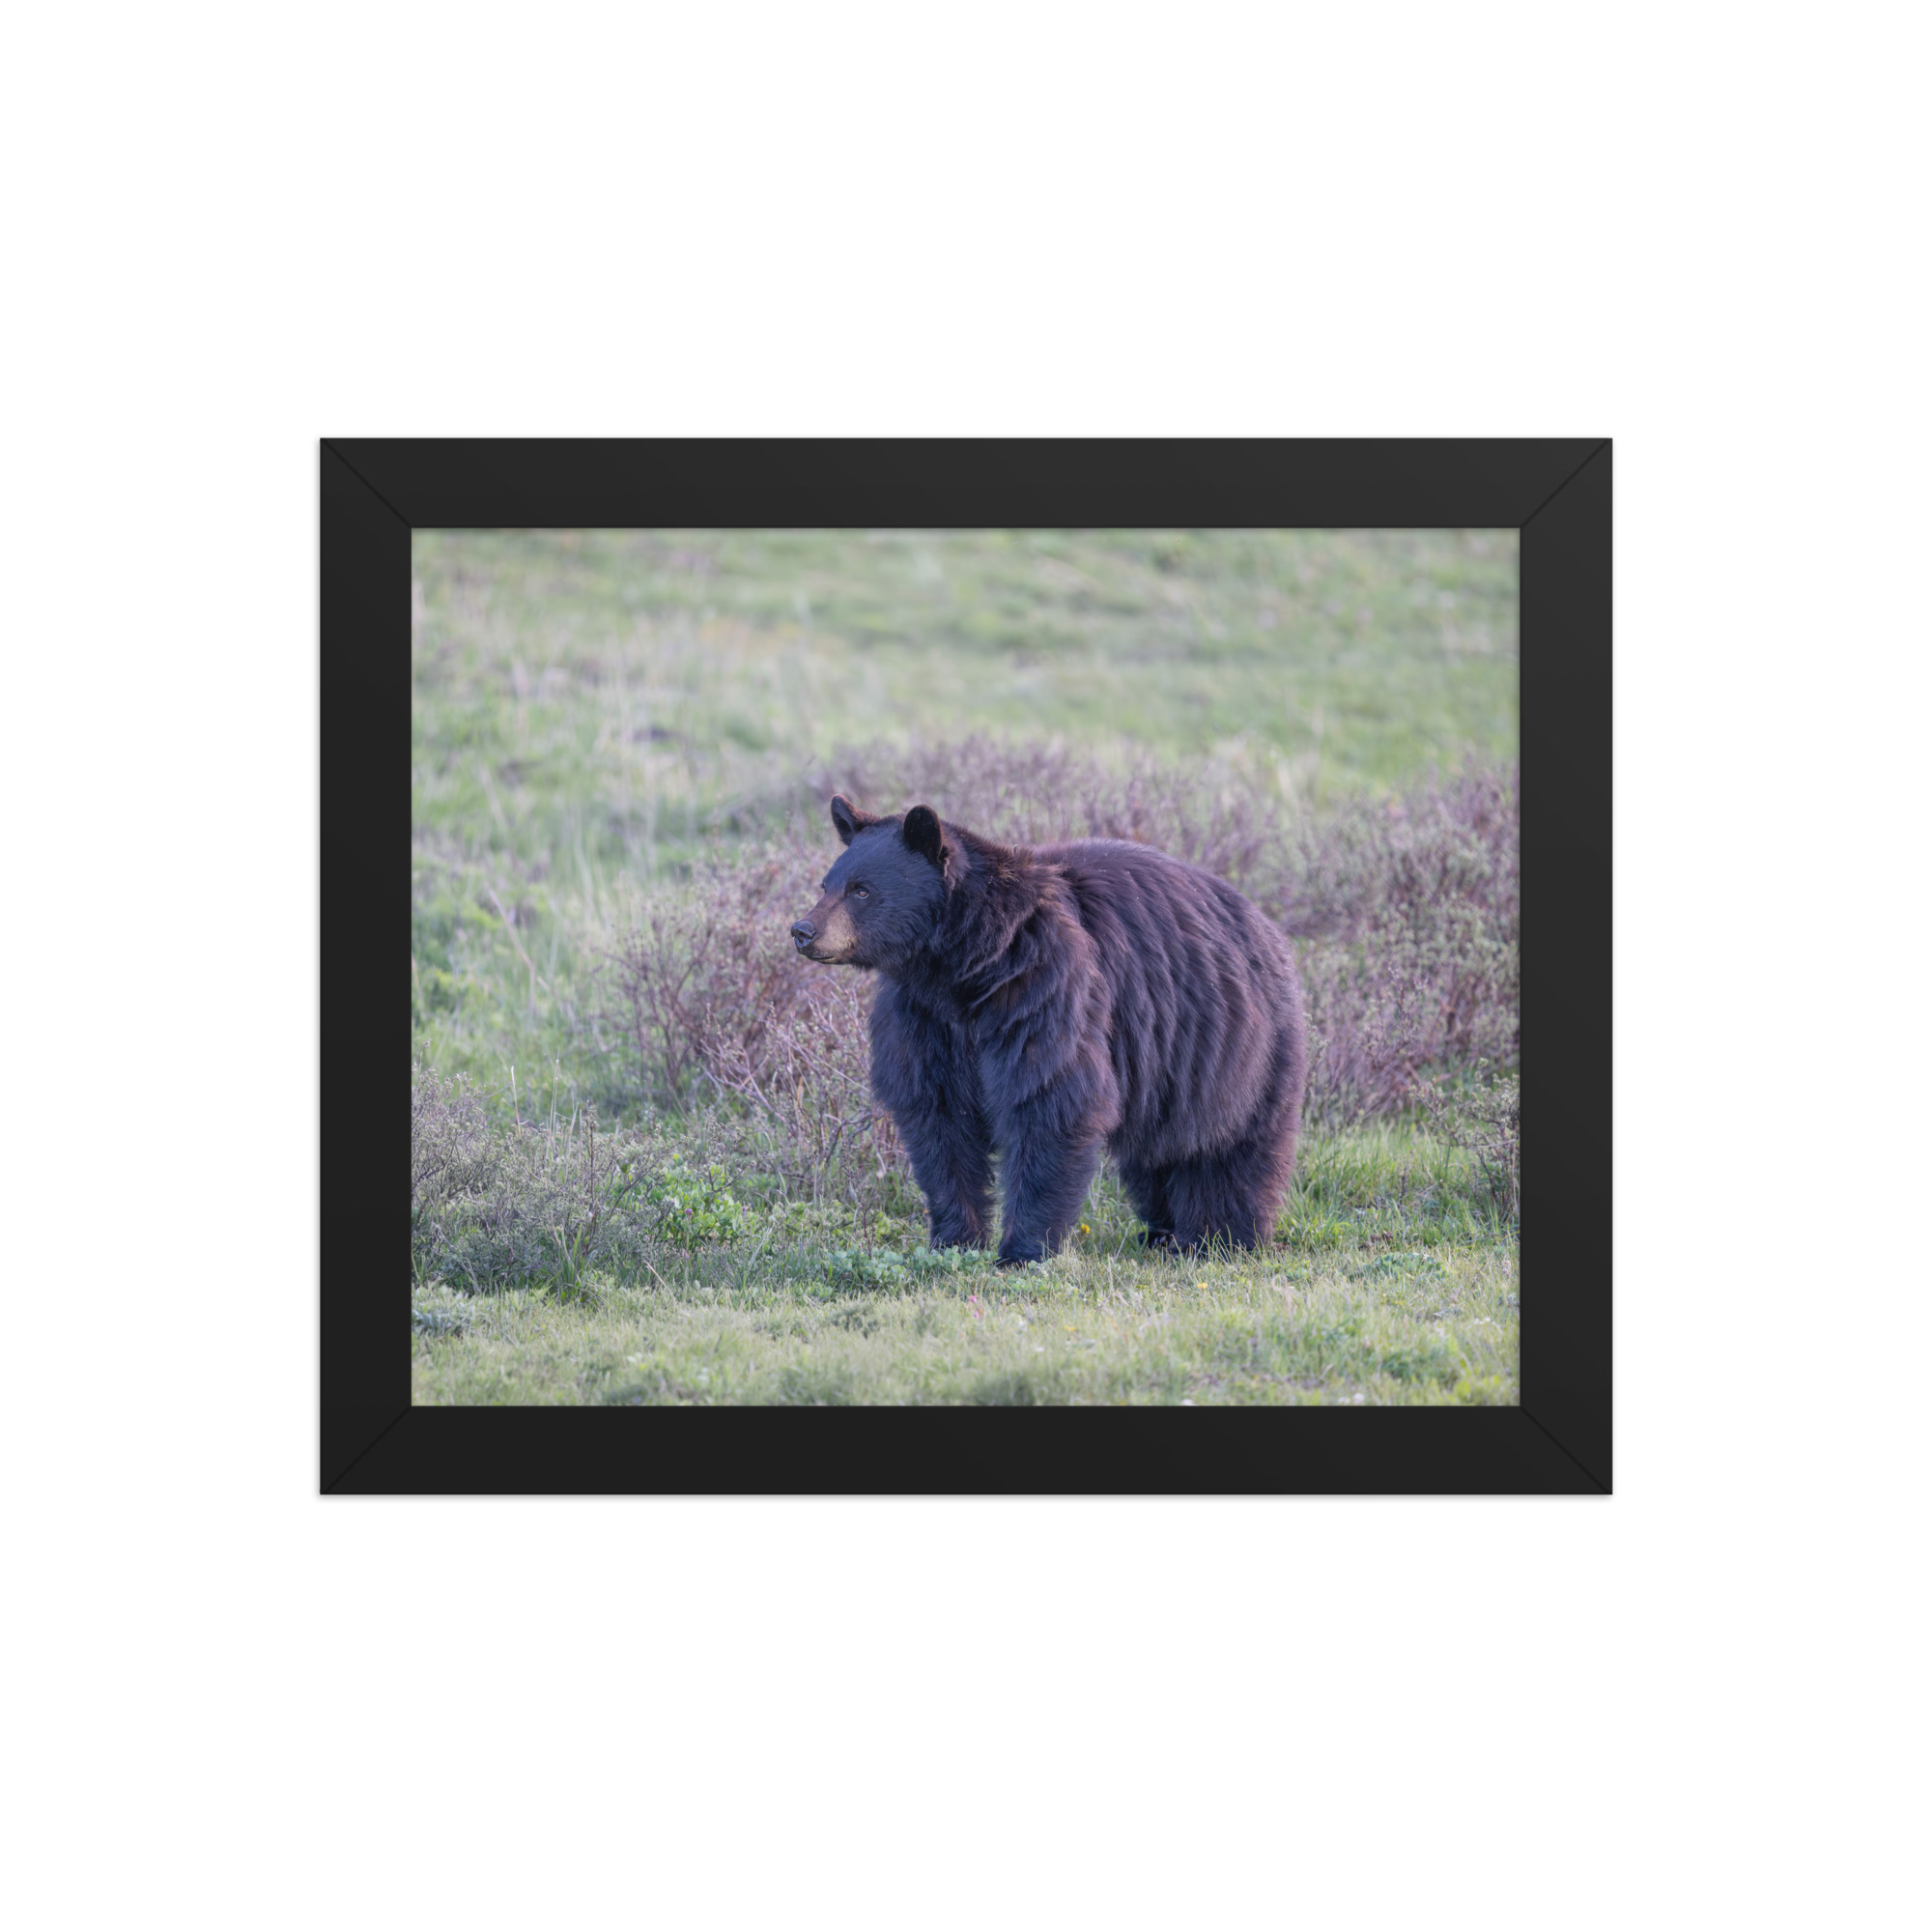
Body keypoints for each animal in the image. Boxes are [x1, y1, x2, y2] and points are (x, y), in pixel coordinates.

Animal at [790, 794, 1307, 1265]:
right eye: (826, 883)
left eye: (861, 890)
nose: (803, 930)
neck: (963, 966)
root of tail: (1267, 926)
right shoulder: (923, 1018)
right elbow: (938, 1117)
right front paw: (954, 1240)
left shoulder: (1043, 987)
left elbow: (1048, 1099)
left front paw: (1022, 1251)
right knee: (1157, 1152)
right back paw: (1162, 1232)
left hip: (1236, 1045)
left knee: (1231, 1146)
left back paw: (1219, 1237)